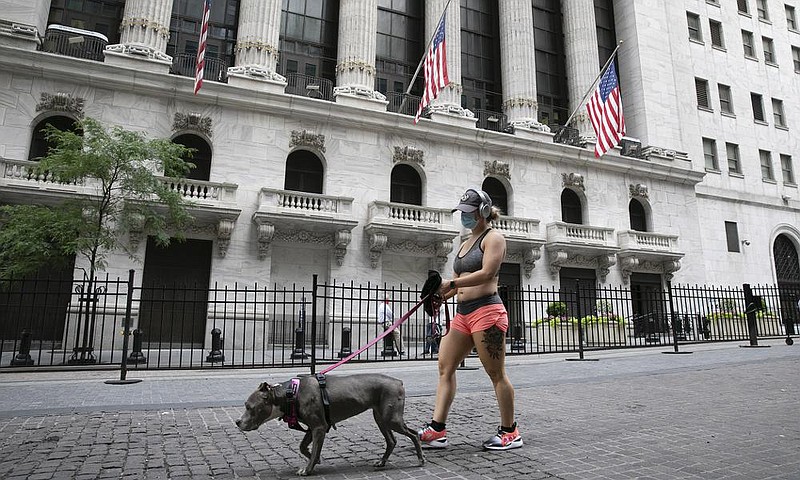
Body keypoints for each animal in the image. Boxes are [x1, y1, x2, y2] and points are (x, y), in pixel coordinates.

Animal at [236, 374, 424, 474]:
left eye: (249, 407)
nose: (238, 422)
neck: (290, 394)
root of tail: (398, 381)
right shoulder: (313, 427)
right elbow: (303, 447)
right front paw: (316, 458)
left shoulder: (319, 428)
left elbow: (311, 451)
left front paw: (308, 469)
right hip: (381, 419)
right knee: (391, 441)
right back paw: (382, 462)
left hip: (392, 419)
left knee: (414, 434)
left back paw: (420, 459)